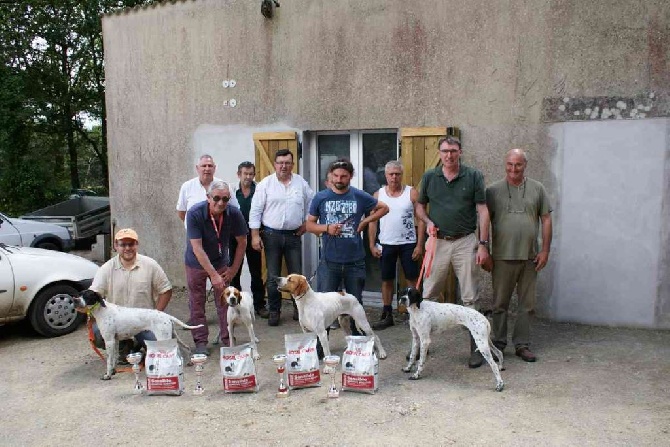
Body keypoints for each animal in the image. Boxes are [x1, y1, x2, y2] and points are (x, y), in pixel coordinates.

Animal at [75, 290, 203, 382]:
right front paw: (113, 371)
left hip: (163, 339)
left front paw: (108, 375)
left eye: (87, 295)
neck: (103, 310)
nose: (74, 300)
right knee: (184, 348)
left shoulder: (109, 340)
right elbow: (114, 358)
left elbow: (108, 361)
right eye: (79, 294)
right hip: (171, 336)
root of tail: (167, 315)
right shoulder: (115, 341)